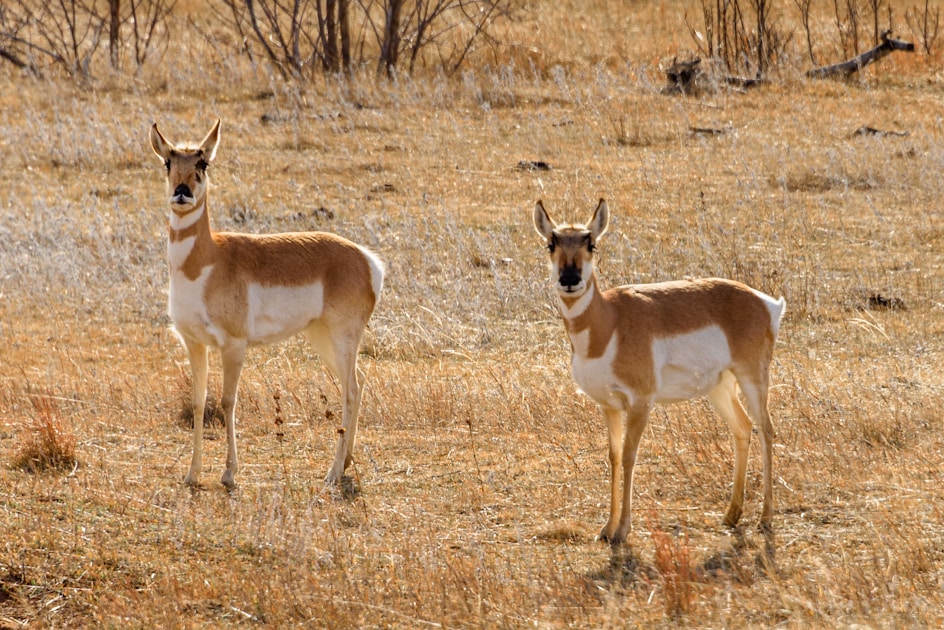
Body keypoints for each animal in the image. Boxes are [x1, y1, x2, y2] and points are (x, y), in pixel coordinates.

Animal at [149, 120, 384, 488]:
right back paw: (345, 463)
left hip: (342, 337)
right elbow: (199, 402)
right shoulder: (194, 343)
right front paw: (192, 474)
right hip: (322, 339)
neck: (206, 259)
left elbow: (227, 402)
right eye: (168, 162)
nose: (182, 191)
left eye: (203, 162)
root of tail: (367, 259)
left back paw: (332, 473)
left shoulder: (233, 346)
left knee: (350, 390)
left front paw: (229, 473)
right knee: (358, 384)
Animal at [533, 199, 785, 544]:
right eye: (551, 243)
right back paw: (731, 515)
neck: (609, 322)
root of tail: (765, 303)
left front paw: (622, 530)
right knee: (744, 427)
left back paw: (765, 518)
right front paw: (606, 528)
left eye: (591, 244)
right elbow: (613, 456)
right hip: (719, 388)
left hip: (753, 379)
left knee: (767, 429)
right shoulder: (609, 406)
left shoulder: (641, 403)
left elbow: (629, 456)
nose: (569, 278)